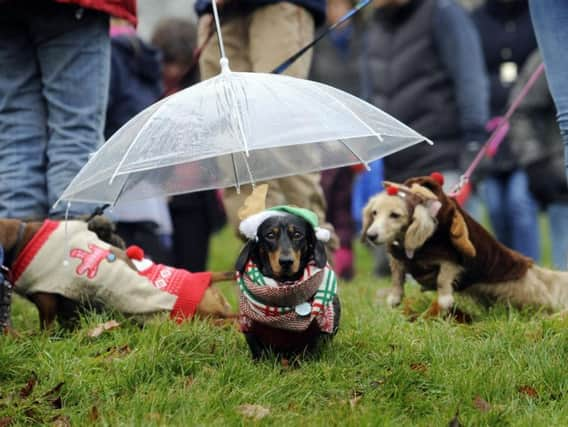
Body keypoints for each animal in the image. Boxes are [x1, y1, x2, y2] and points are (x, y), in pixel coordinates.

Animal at [362, 172, 568, 316]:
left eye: (395, 215)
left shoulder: (450, 260)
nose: (371, 236)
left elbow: (443, 279)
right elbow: (397, 276)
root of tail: (530, 267)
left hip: (527, 293)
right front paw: (394, 297)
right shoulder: (397, 259)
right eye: (374, 213)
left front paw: (445, 300)